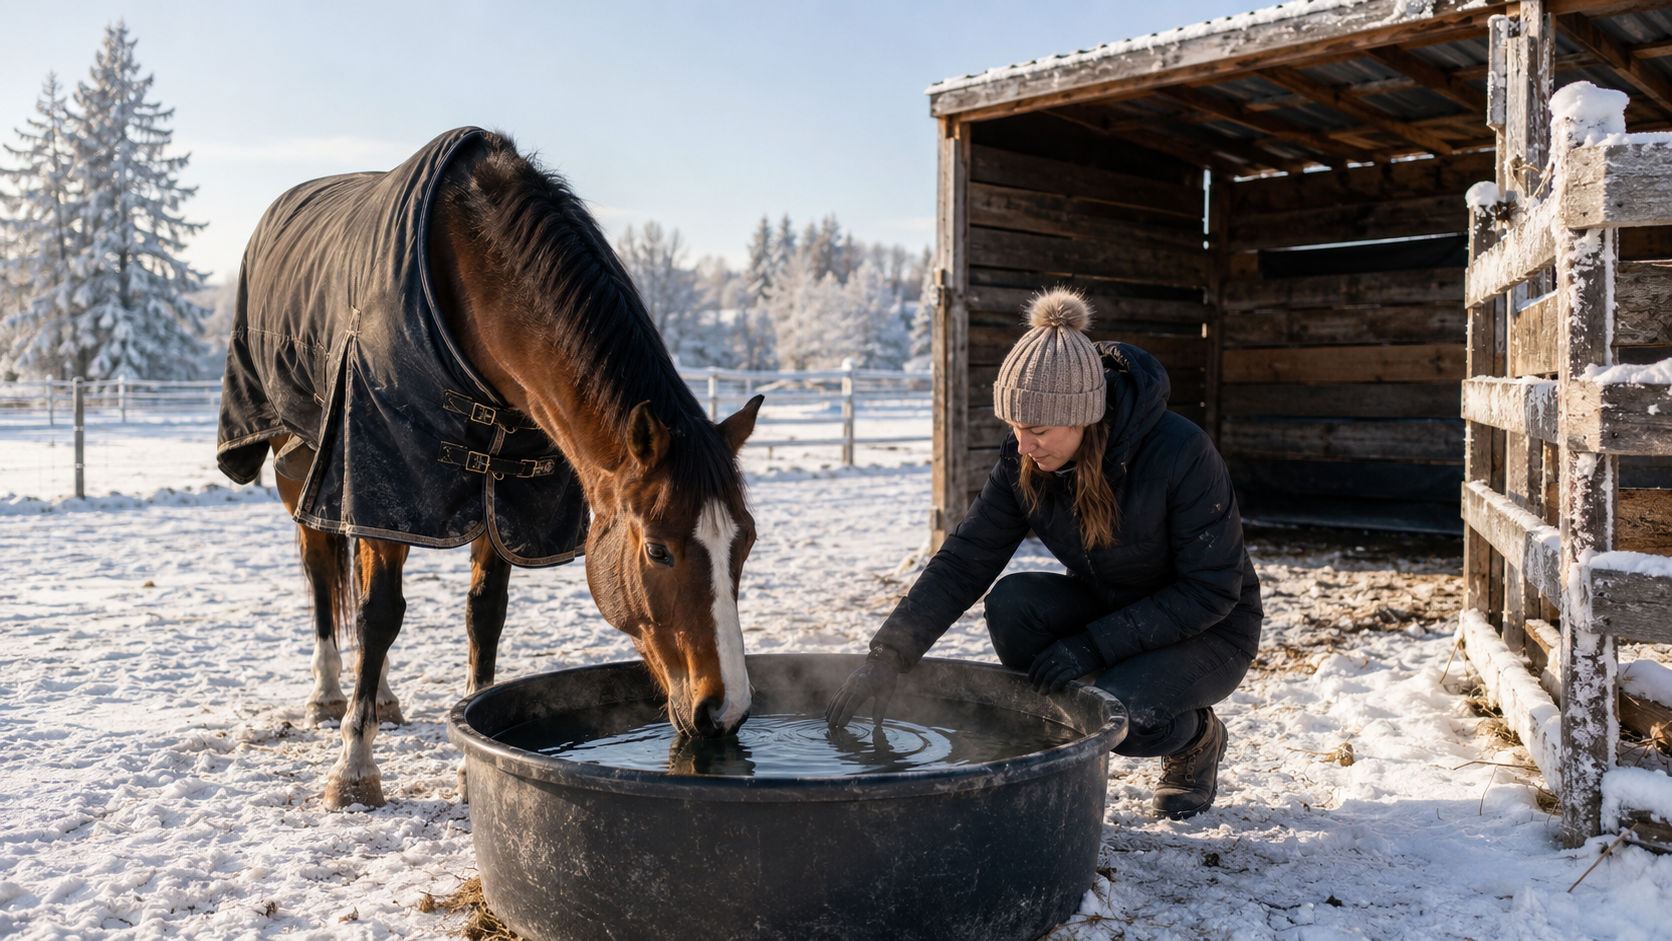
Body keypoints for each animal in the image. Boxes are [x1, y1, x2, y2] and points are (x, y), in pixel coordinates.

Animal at [217, 128, 762, 810]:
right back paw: (328, 695)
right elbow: (379, 613)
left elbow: (484, 615)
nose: (727, 710)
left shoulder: (505, 494)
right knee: (324, 574)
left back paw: (383, 695)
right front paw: (354, 768)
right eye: (658, 551)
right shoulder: (383, 465)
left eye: (746, 543)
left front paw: (466, 762)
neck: (473, 277)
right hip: (304, 467)